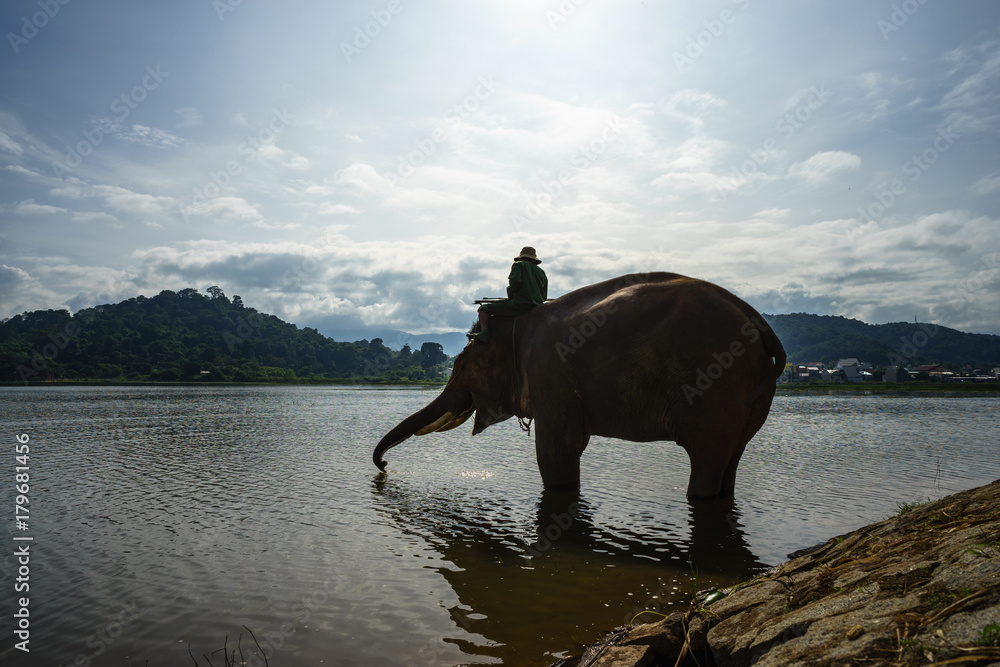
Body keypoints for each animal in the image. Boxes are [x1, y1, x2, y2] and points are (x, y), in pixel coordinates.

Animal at [373, 272, 786, 498]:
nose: (385, 466)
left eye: (459, 366)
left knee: (707, 461)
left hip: (719, 386)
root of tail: (761, 323)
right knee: (731, 460)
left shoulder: (549, 375)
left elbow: (556, 452)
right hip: (752, 395)